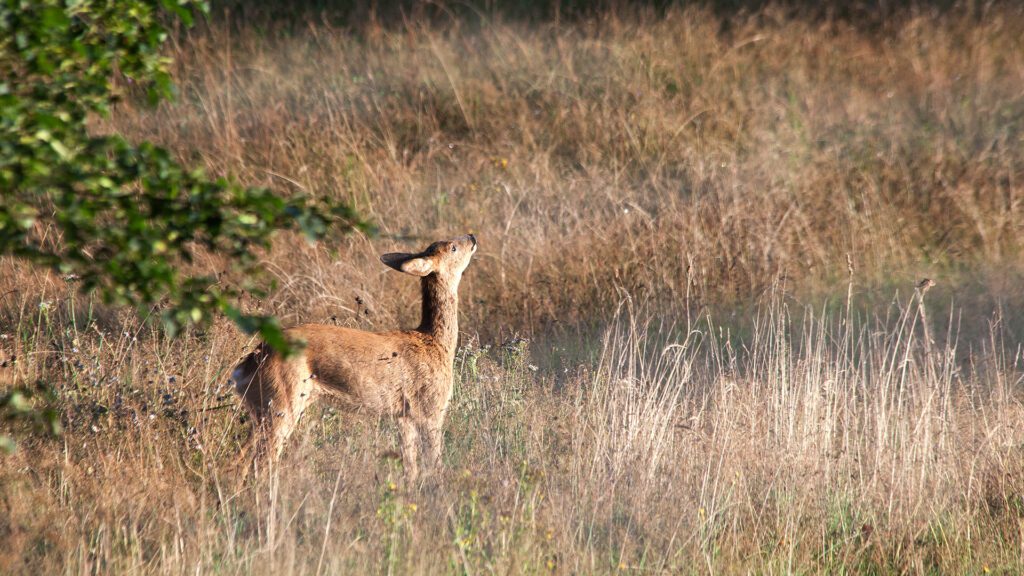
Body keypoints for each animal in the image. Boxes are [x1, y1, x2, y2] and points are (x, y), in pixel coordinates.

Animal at [230, 230, 477, 477]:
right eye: (453, 247)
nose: (472, 237)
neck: (435, 343)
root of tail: (247, 365)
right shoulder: (430, 407)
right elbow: (434, 463)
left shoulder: (403, 416)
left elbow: (410, 468)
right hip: (281, 402)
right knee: (262, 461)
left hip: (263, 408)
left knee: (241, 458)